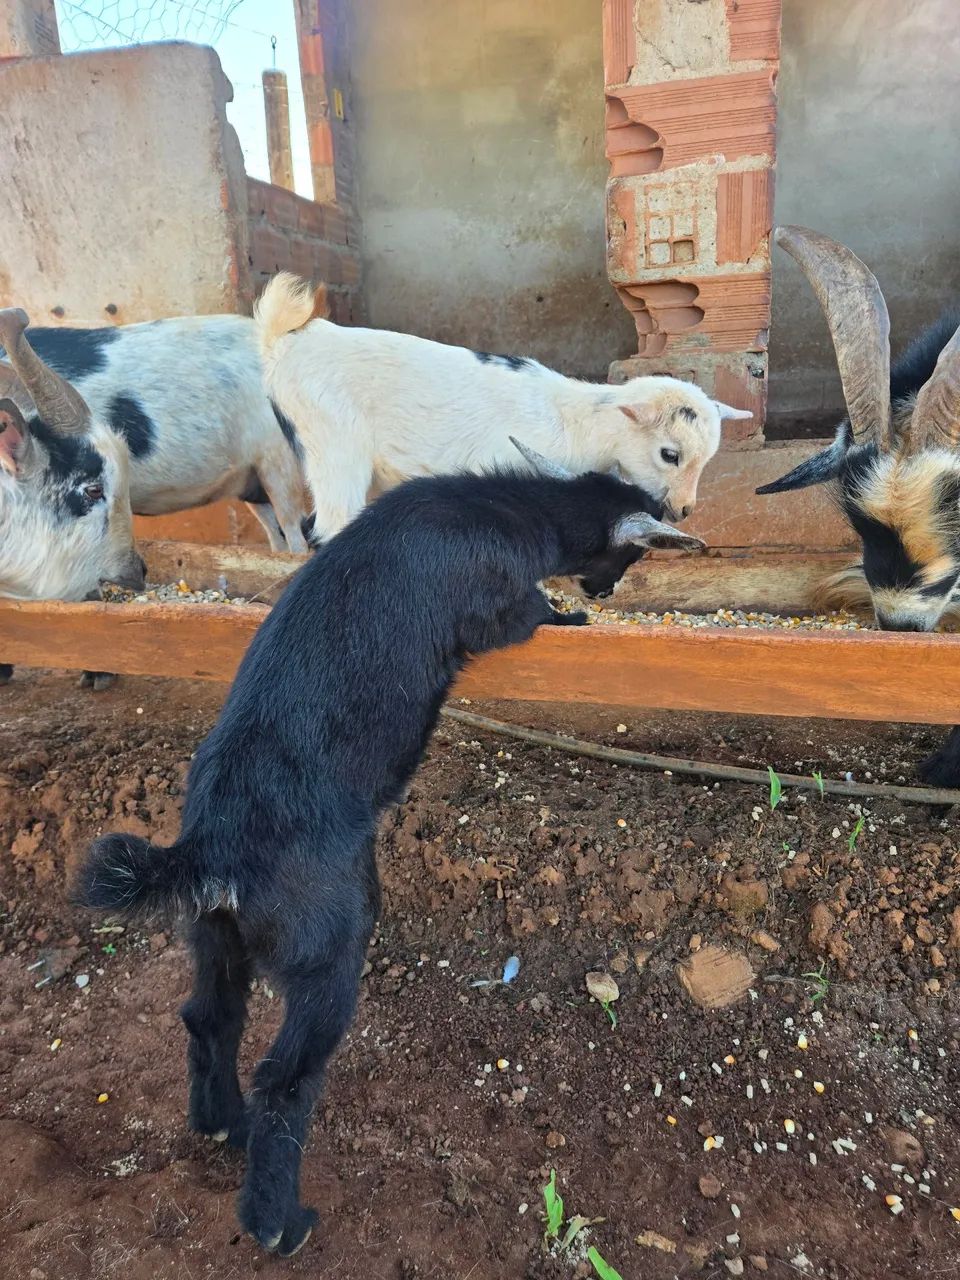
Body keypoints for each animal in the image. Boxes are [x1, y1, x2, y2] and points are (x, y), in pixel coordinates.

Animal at [75, 442, 704, 1256]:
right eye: (632, 550)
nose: (606, 588)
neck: (510, 510)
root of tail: (211, 849)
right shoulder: (497, 606)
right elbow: (527, 615)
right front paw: (568, 610)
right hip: (331, 947)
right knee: (286, 1079)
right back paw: (278, 1220)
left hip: (218, 937)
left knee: (209, 1018)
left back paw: (222, 1125)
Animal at [256, 273, 751, 556]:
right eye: (670, 454)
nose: (684, 510)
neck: (574, 421)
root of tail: (283, 339)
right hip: (334, 445)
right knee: (332, 521)